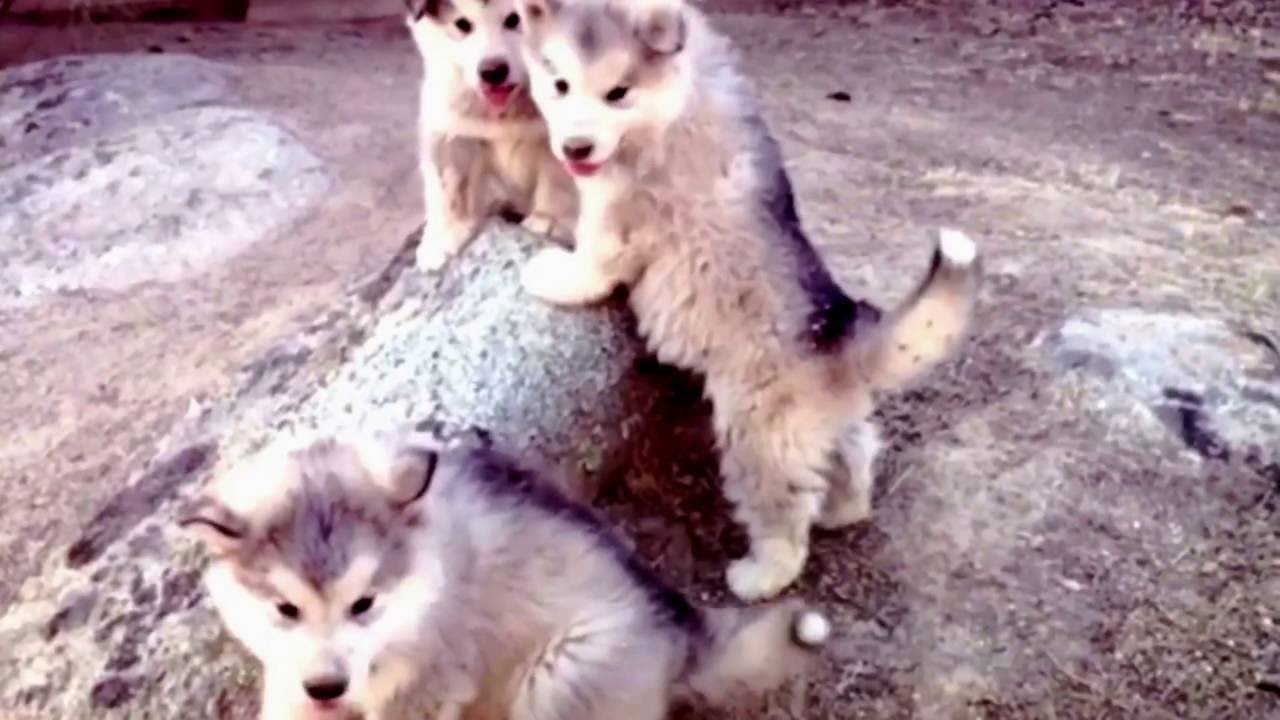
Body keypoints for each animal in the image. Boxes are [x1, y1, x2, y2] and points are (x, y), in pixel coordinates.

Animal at [180, 428, 831, 719]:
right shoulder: (292, 676)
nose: (327, 686)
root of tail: (682, 625)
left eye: (364, 603)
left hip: (560, 674)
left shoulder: (428, 684)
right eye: (284, 609)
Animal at [406, 0, 578, 272]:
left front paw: (549, 222)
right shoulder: (451, 127)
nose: (492, 71)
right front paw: (443, 236)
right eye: (462, 24)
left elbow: (557, 180)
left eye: (515, 19)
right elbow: (448, 187)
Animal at [513, 0, 983, 601]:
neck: (672, 100)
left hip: (756, 437)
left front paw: (553, 272)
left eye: (618, 92)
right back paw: (842, 510)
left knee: (784, 521)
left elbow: (594, 259)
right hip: (825, 427)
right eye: (560, 84)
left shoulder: (622, 213)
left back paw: (757, 576)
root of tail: (841, 337)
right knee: (853, 459)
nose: (575, 148)